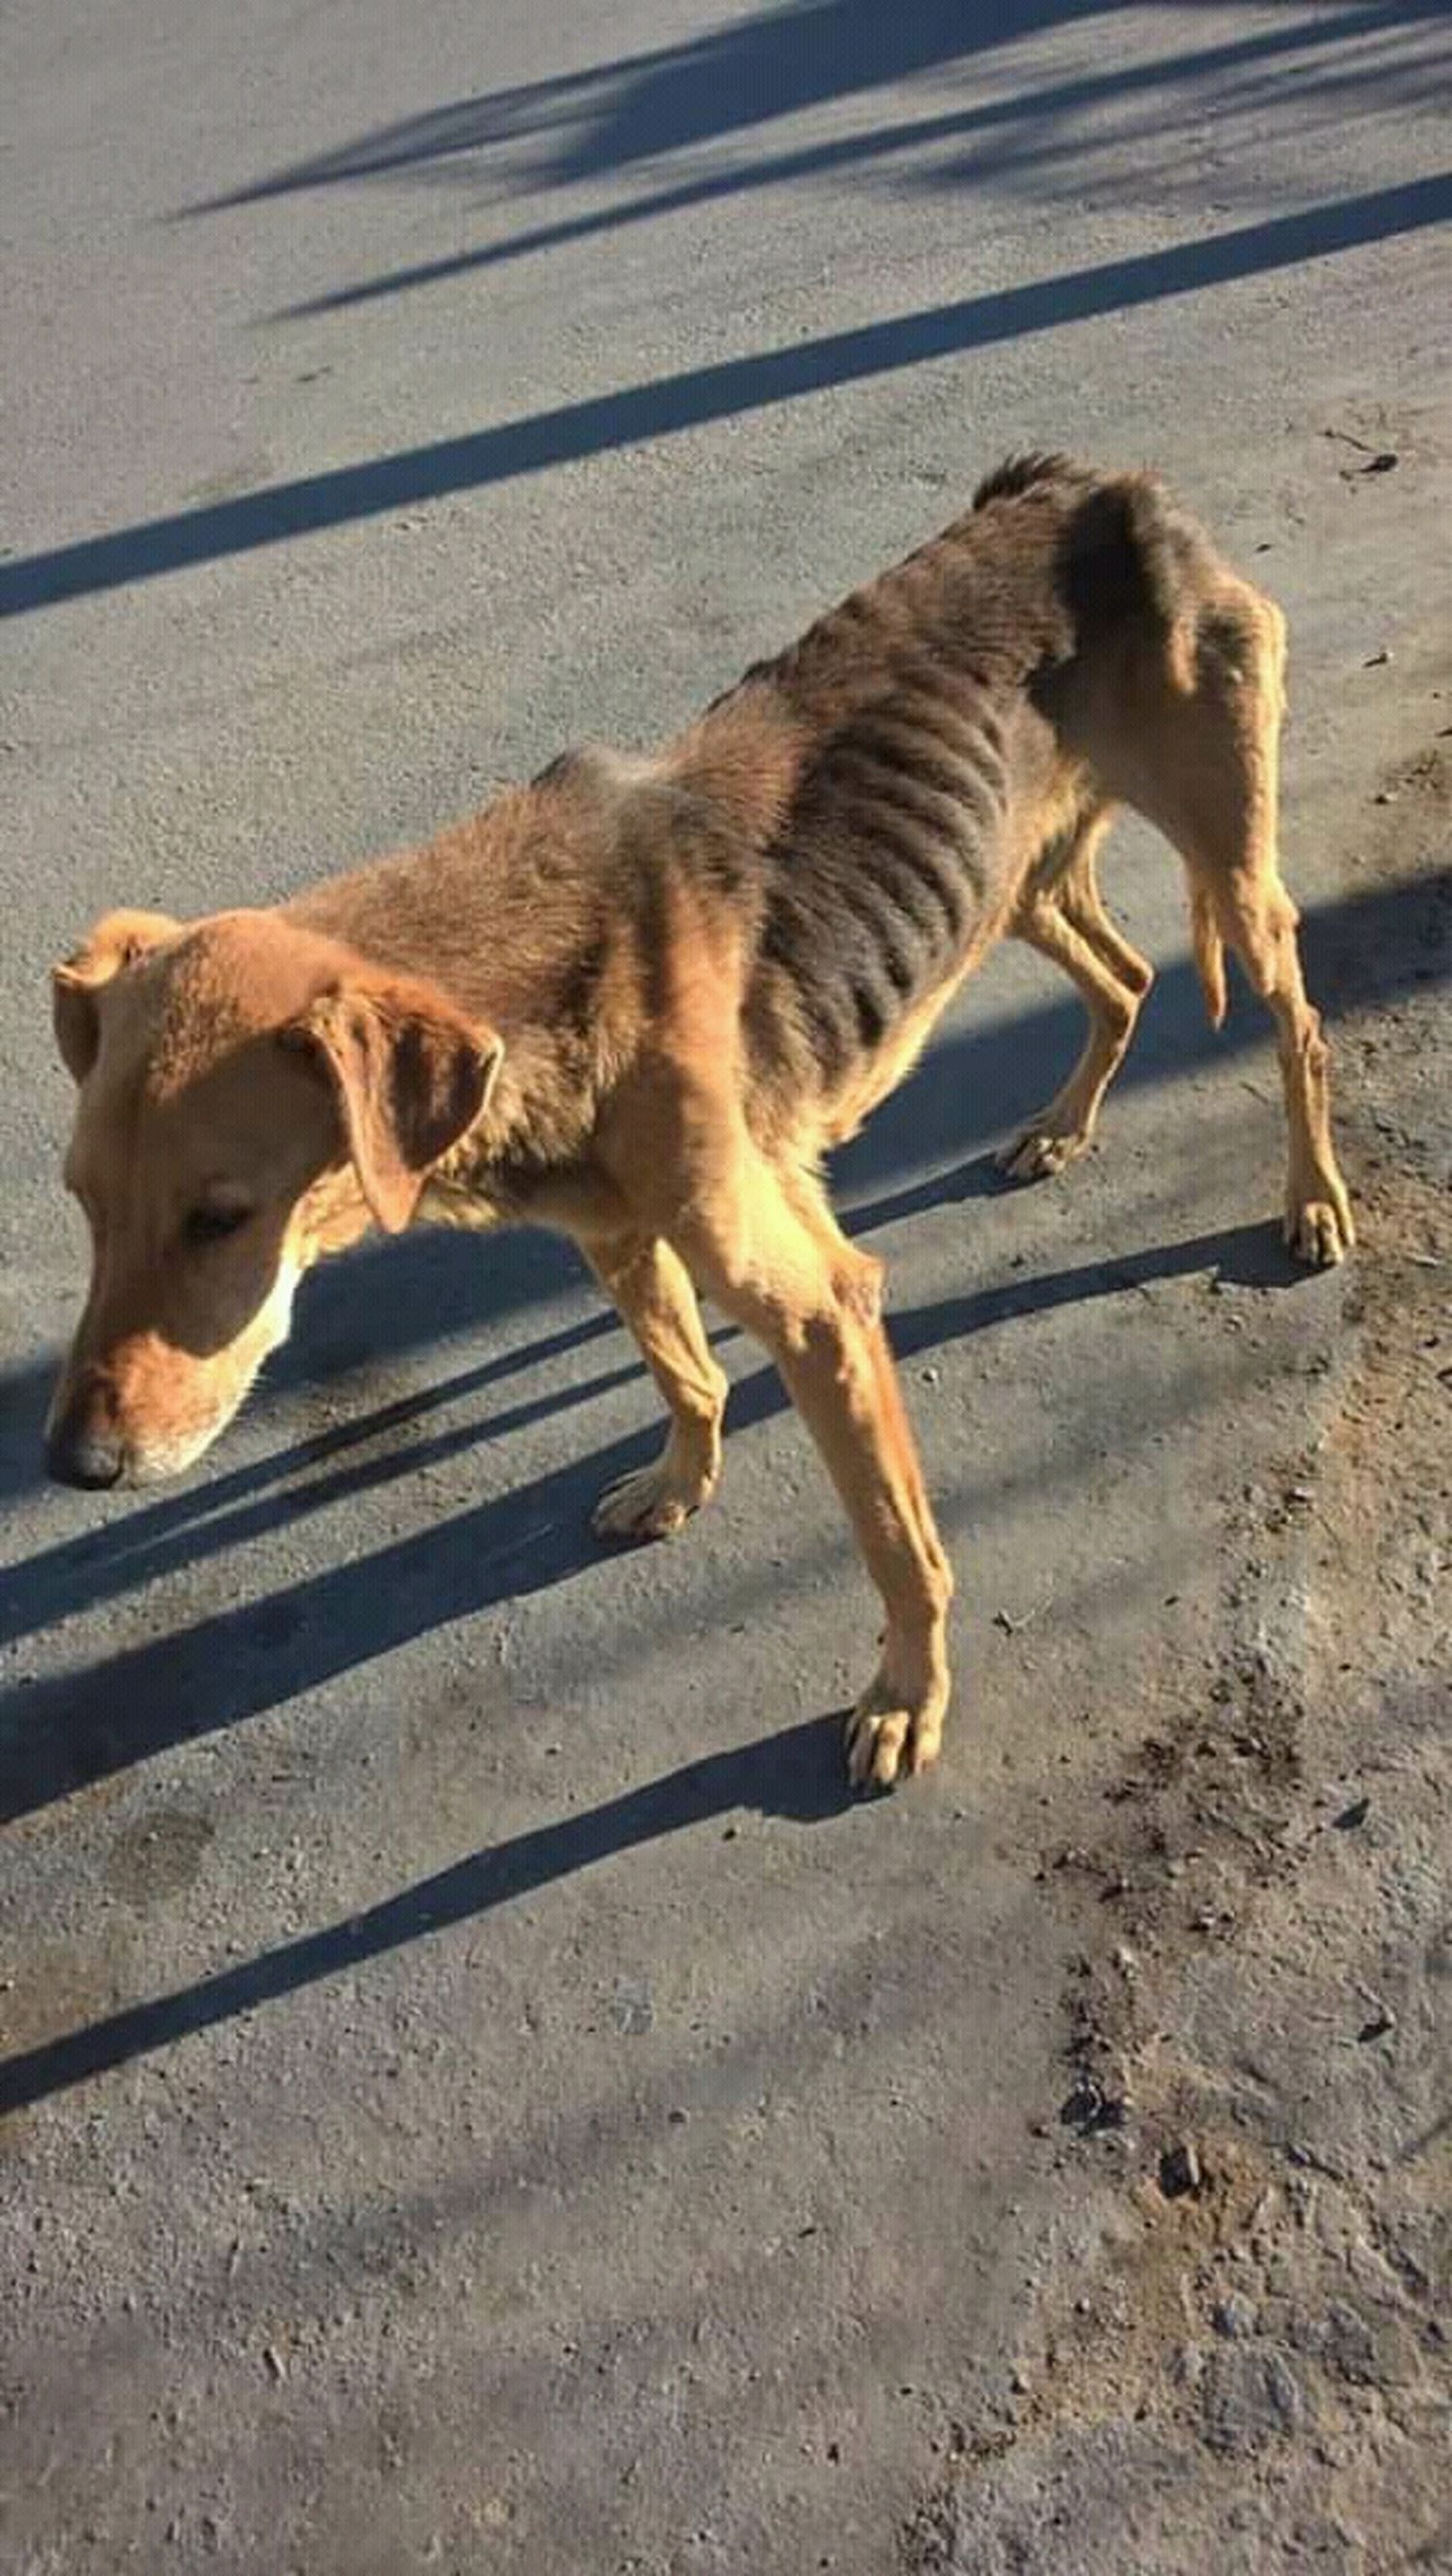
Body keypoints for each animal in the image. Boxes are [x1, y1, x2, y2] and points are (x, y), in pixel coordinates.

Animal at [53, 458, 1351, 1792]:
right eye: (84, 1205)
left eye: (220, 1218)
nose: (76, 1468)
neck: (529, 993)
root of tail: (1098, 488)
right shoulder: (614, 1234)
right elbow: (685, 1372)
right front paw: (682, 1482)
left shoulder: (819, 1308)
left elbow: (896, 1544)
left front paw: (908, 1694)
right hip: (1010, 882)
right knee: (1126, 982)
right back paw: (1062, 1125)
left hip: (1227, 875)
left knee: (1295, 1024)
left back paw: (1311, 1199)